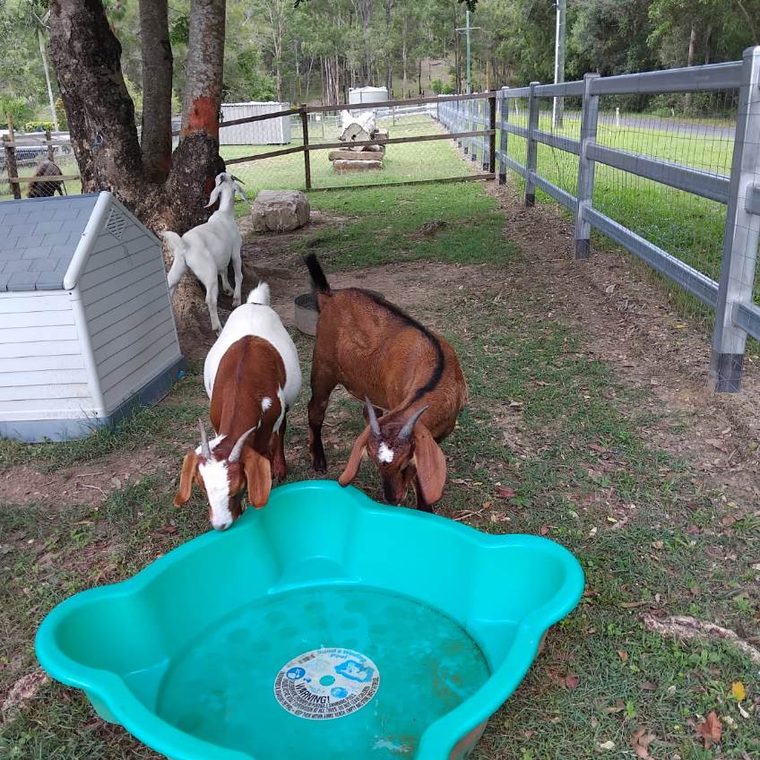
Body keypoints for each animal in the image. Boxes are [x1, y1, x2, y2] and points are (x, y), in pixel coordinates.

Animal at [162, 172, 247, 333]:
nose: (221, 174)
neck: (225, 213)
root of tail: (184, 246)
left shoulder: (221, 255)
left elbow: (224, 270)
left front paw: (228, 289)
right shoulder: (235, 251)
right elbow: (238, 275)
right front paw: (236, 299)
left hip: (178, 268)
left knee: (168, 287)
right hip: (208, 272)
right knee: (210, 299)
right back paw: (217, 327)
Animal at [174, 282, 302, 530]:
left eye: (238, 487)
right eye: (202, 487)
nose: (220, 525)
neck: (241, 381)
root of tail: (254, 302)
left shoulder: (268, 422)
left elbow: (267, 450)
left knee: (281, 431)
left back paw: (280, 467)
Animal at [304, 254, 468, 512]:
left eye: (406, 464)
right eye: (373, 461)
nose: (392, 499)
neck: (436, 373)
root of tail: (329, 296)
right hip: (322, 365)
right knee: (315, 409)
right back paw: (319, 460)